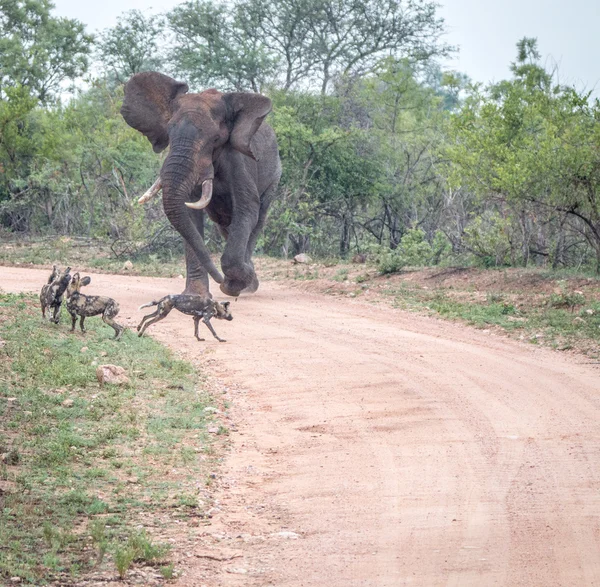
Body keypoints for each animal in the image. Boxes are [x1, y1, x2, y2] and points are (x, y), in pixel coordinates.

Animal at [122, 71, 284, 296]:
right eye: (169, 133)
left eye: (215, 139)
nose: (220, 280)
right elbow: (189, 214)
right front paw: (196, 295)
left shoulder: (238, 160)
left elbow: (247, 208)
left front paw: (231, 286)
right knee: (224, 224)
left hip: (274, 176)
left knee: (257, 220)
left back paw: (248, 284)